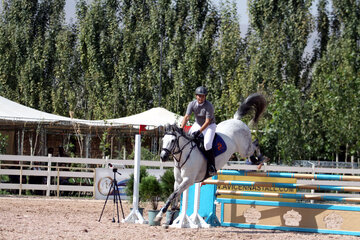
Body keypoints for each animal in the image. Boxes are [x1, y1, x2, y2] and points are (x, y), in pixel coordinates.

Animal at [155, 92, 268, 225]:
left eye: (173, 141)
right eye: (163, 139)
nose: (163, 156)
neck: (183, 156)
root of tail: (236, 120)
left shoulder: (188, 180)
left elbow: (172, 195)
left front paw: (159, 216)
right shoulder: (177, 181)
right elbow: (174, 198)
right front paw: (169, 219)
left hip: (244, 149)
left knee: (255, 144)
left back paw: (259, 159)